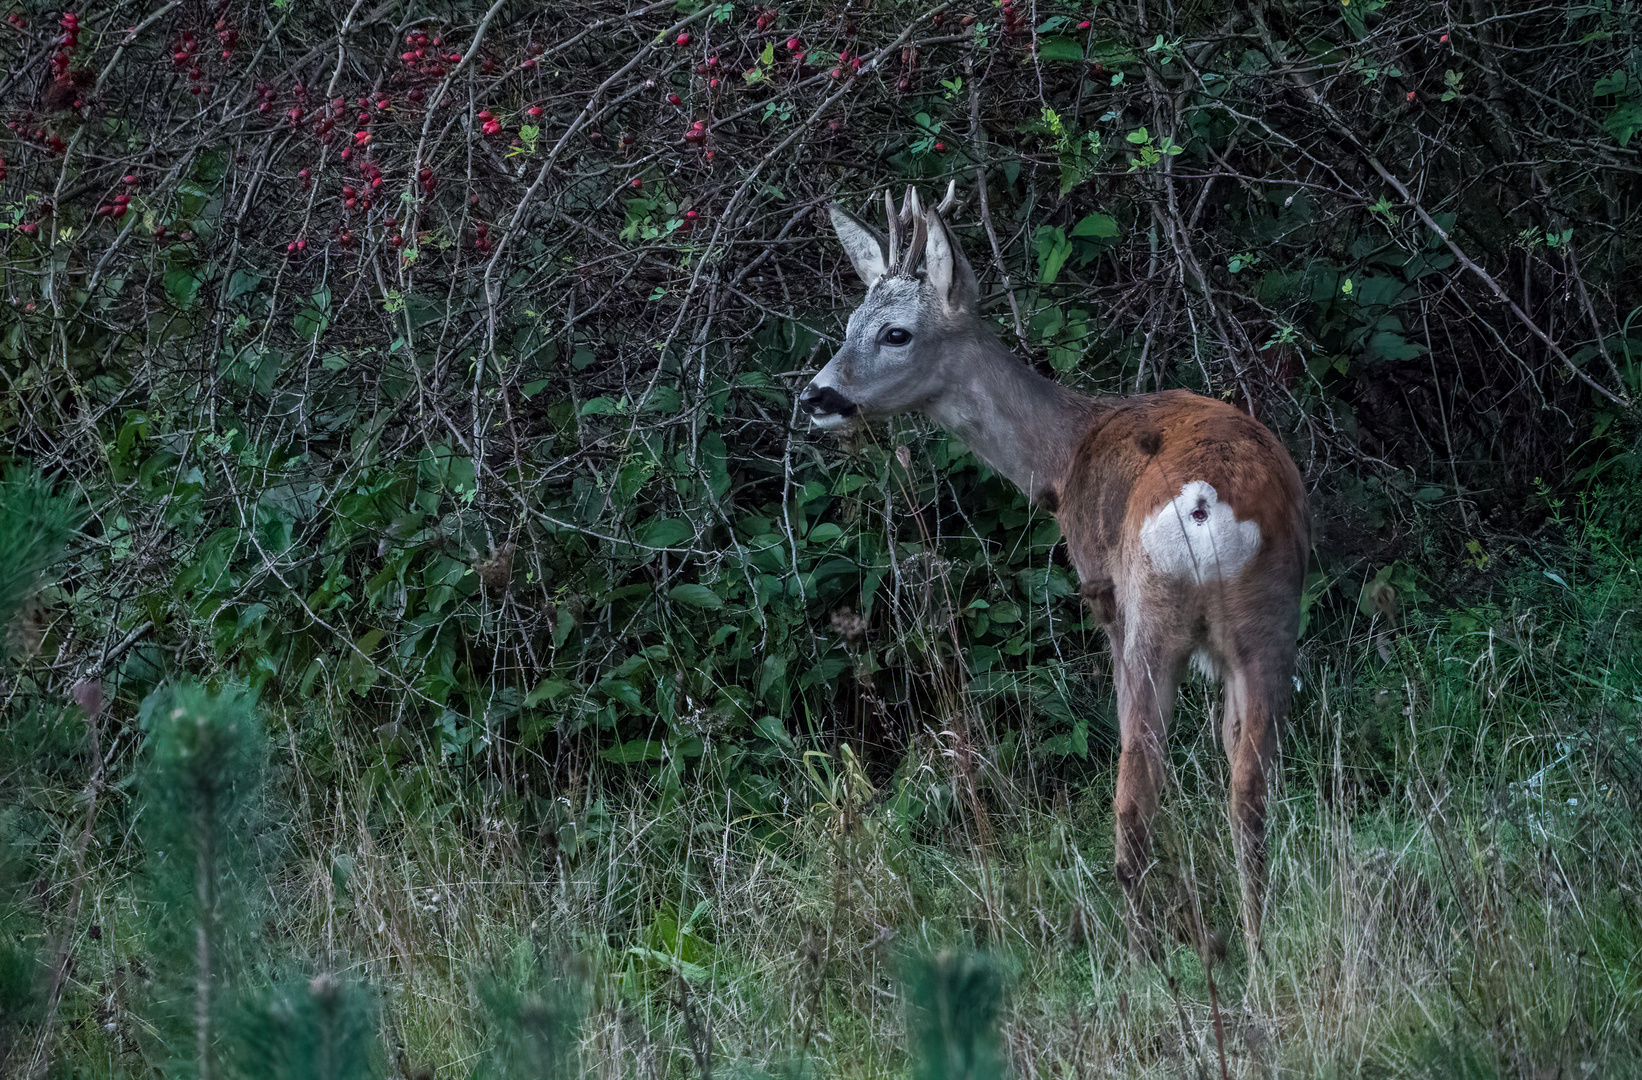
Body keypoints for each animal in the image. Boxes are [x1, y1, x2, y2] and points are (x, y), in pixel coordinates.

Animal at [794, 185, 1307, 958]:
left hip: (1148, 617)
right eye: (850, 322)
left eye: (896, 334)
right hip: (1270, 619)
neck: (1065, 455)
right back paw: (1256, 947)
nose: (817, 396)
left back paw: (1141, 953)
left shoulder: (1105, 597)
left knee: (1136, 788)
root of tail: (1205, 506)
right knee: (1249, 788)